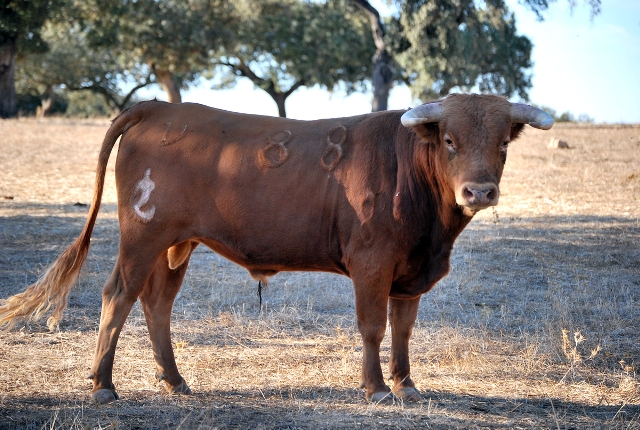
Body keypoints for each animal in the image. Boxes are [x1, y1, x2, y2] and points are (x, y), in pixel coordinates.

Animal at [0, 93, 552, 404]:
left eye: (503, 143)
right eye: (451, 140)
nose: (479, 192)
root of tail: (160, 107)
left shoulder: (409, 272)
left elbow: (403, 330)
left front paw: (406, 385)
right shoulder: (372, 264)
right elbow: (373, 327)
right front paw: (375, 389)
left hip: (176, 244)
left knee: (158, 303)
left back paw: (174, 381)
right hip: (142, 237)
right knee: (118, 296)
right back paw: (102, 386)